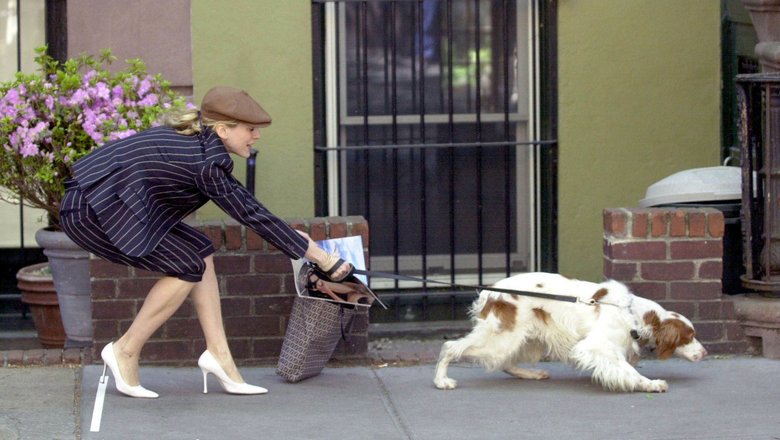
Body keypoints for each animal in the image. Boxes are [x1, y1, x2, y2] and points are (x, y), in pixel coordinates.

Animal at [432, 272, 708, 392]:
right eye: (689, 336)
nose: (705, 353)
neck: (633, 314)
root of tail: (491, 292)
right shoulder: (598, 346)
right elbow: (628, 370)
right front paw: (651, 384)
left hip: (524, 339)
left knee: (506, 363)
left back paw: (532, 374)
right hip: (502, 339)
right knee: (449, 347)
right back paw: (441, 380)